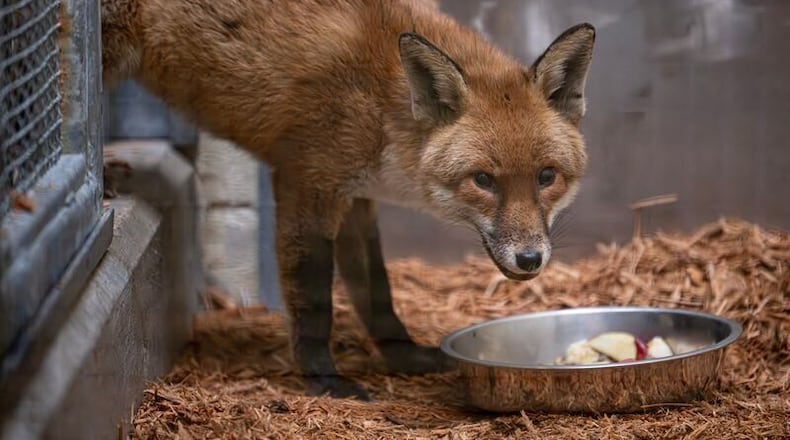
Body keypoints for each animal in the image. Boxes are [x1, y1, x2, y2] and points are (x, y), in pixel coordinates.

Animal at [100, 0, 595, 400]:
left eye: (546, 177)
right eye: (484, 180)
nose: (530, 259)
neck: (381, 102)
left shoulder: (356, 198)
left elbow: (377, 292)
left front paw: (405, 357)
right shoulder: (307, 184)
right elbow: (315, 300)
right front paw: (324, 380)